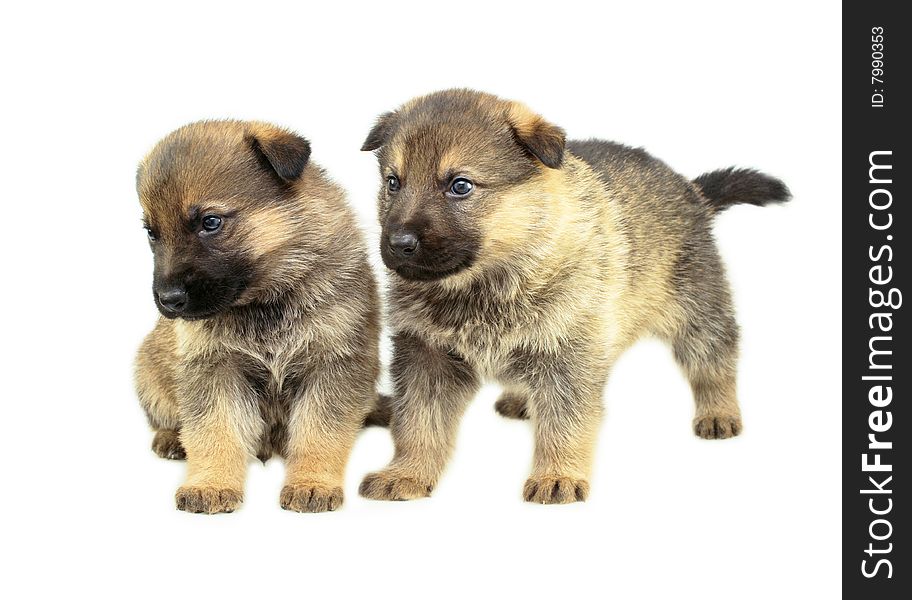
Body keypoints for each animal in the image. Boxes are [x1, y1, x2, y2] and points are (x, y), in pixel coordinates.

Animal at [134, 119, 380, 512]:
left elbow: (319, 431)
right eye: (151, 234)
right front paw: (211, 483)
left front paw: (311, 481)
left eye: (211, 222)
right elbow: (214, 430)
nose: (168, 301)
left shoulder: (333, 365)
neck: (265, 300)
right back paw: (172, 438)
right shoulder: (213, 369)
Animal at [360, 88, 788, 502]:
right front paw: (407, 473)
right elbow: (417, 424)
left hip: (696, 307)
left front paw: (557, 476)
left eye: (460, 185)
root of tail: (691, 189)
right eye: (393, 182)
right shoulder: (425, 355)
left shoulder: (566, 353)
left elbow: (565, 422)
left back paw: (719, 412)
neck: (485, 282)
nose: (399, 244)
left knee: (714, 359)